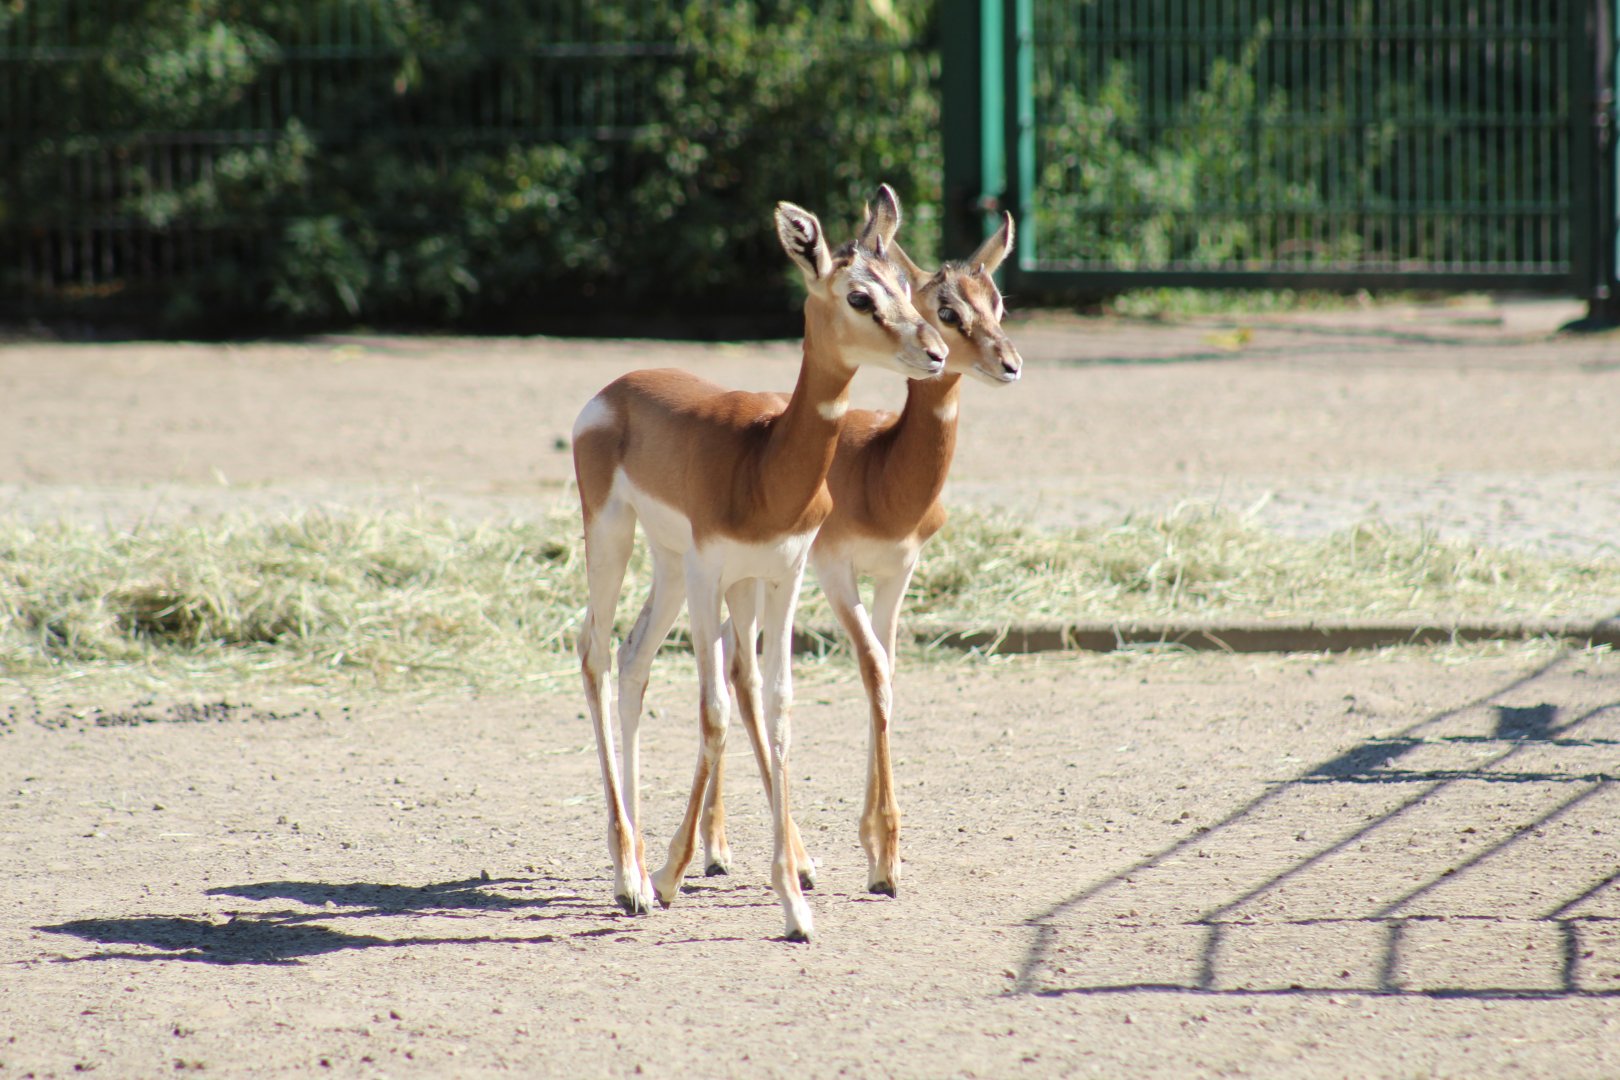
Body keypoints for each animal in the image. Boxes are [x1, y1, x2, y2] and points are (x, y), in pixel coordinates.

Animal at [571, 185, 947, 942]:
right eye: (860, 296)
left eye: (902, 285)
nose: (934, 350)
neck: (764, 460)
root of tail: (614, 390)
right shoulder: (715, 574)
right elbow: (717, 710)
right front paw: (679, 879)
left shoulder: (783, 576)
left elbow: (777, 709)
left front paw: (796, 905)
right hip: (614, 538)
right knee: (594, 652)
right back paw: (630, 879)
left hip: (668, 565)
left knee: (633, 656)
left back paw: (639, 869)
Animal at [703, 214, 1021, 898]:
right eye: (945, 309)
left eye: (997, 302)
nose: (1010, 363)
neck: (879, 472)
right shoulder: (834, 570)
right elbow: (873, 671)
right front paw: (883, 860)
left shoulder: (898, 571)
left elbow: (887, 674)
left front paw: (878, 847)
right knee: (734, 673)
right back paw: (727, 852)